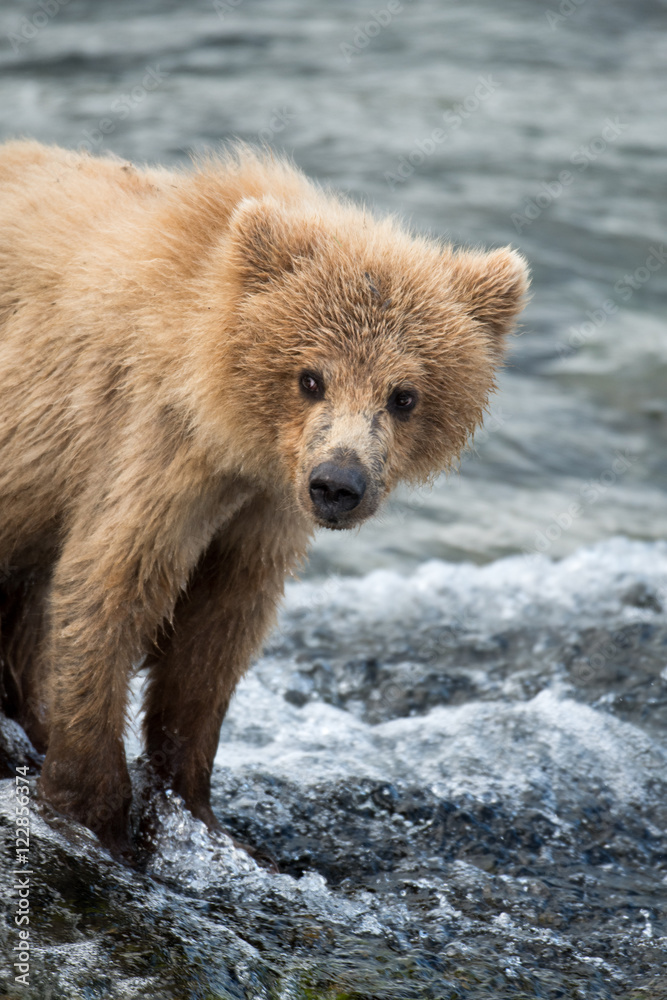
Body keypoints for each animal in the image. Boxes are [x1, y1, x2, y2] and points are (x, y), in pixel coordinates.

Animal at [0, 140, 529, 858]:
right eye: (310, 377)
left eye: (404, 395)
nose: (338, 483)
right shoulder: (151, 447)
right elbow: (108, 589)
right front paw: (91, 810)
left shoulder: (263, 511)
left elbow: (215, 635)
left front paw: (196, 810)